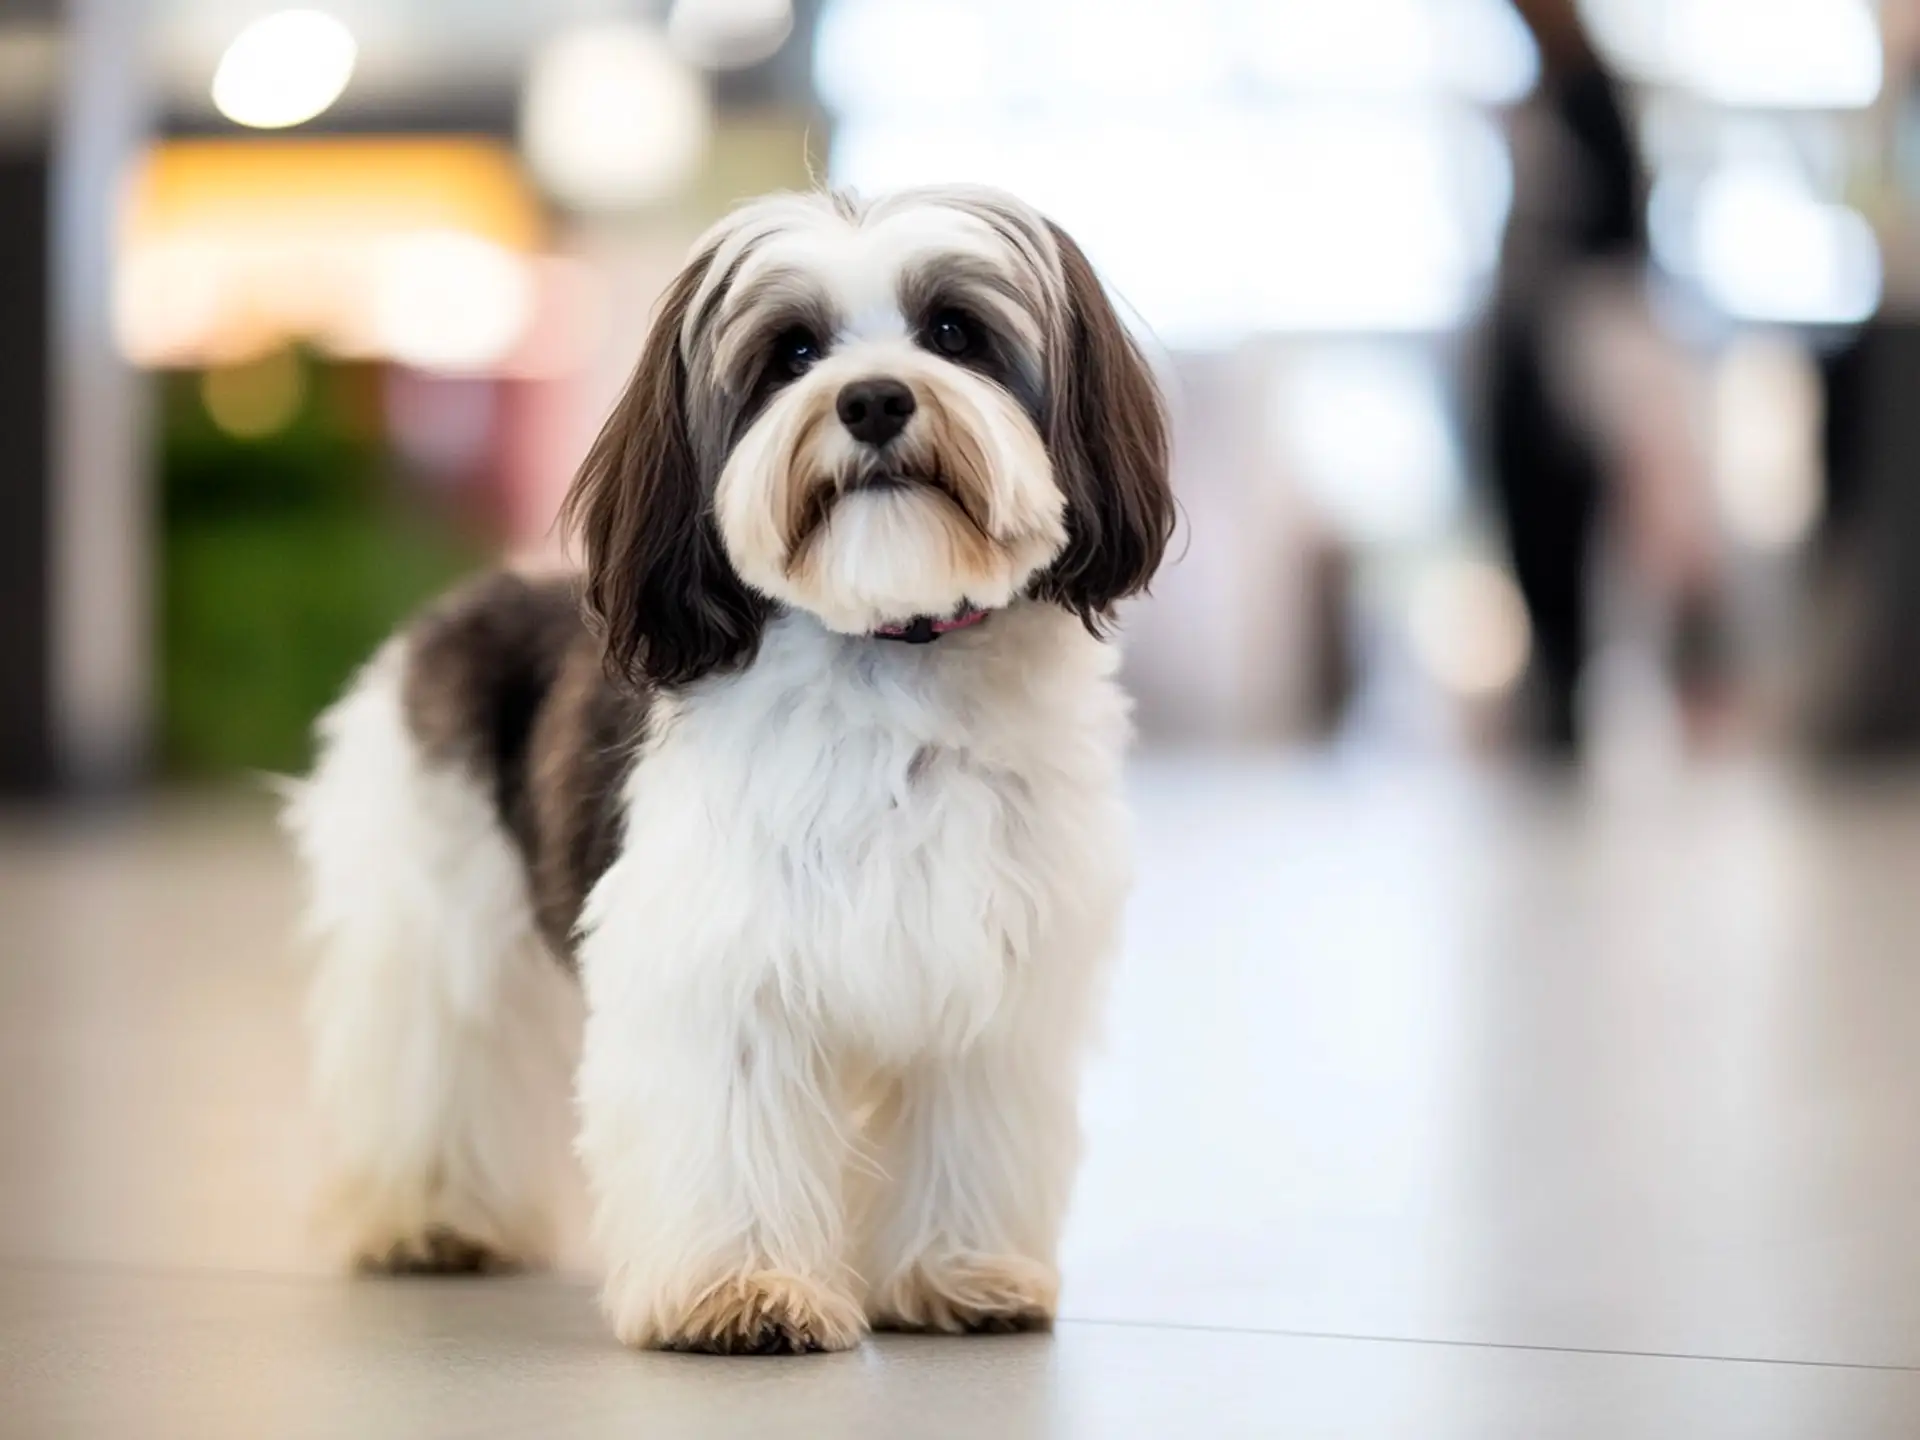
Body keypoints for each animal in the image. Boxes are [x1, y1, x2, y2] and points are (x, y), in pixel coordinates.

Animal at [286, 186, 1175, 1359]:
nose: (874, 399)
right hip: (431, 923)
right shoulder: (724, 961)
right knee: (436, 1059)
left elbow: (964, 1128)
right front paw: (743, 1290)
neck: (889, 651)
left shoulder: (987, 972)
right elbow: (730, 1121)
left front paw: (955, 1273)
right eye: (792, 350)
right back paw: (427, 1217)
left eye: (953, 332)